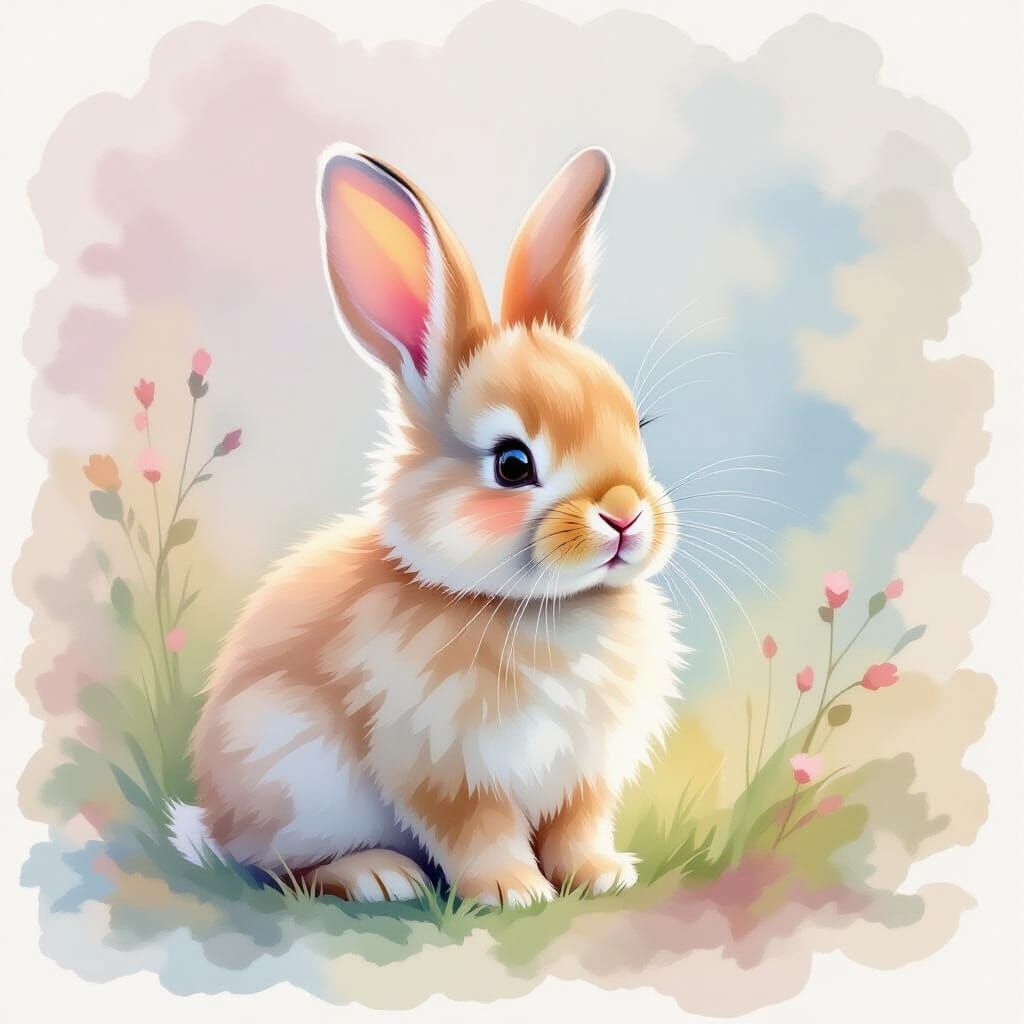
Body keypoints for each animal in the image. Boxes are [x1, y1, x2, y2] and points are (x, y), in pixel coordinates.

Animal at [167, 144, 684, 907]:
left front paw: (602, 876)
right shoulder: (444, 768)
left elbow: (577, 829)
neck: (543, 609)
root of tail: (214, 822)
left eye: (637, 428)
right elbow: (479, 833)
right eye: (512, 463)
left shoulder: (583, 775)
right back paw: (380, 875)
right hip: (292, 777)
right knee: (282, 869)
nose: (624, 514)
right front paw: (514, 892)